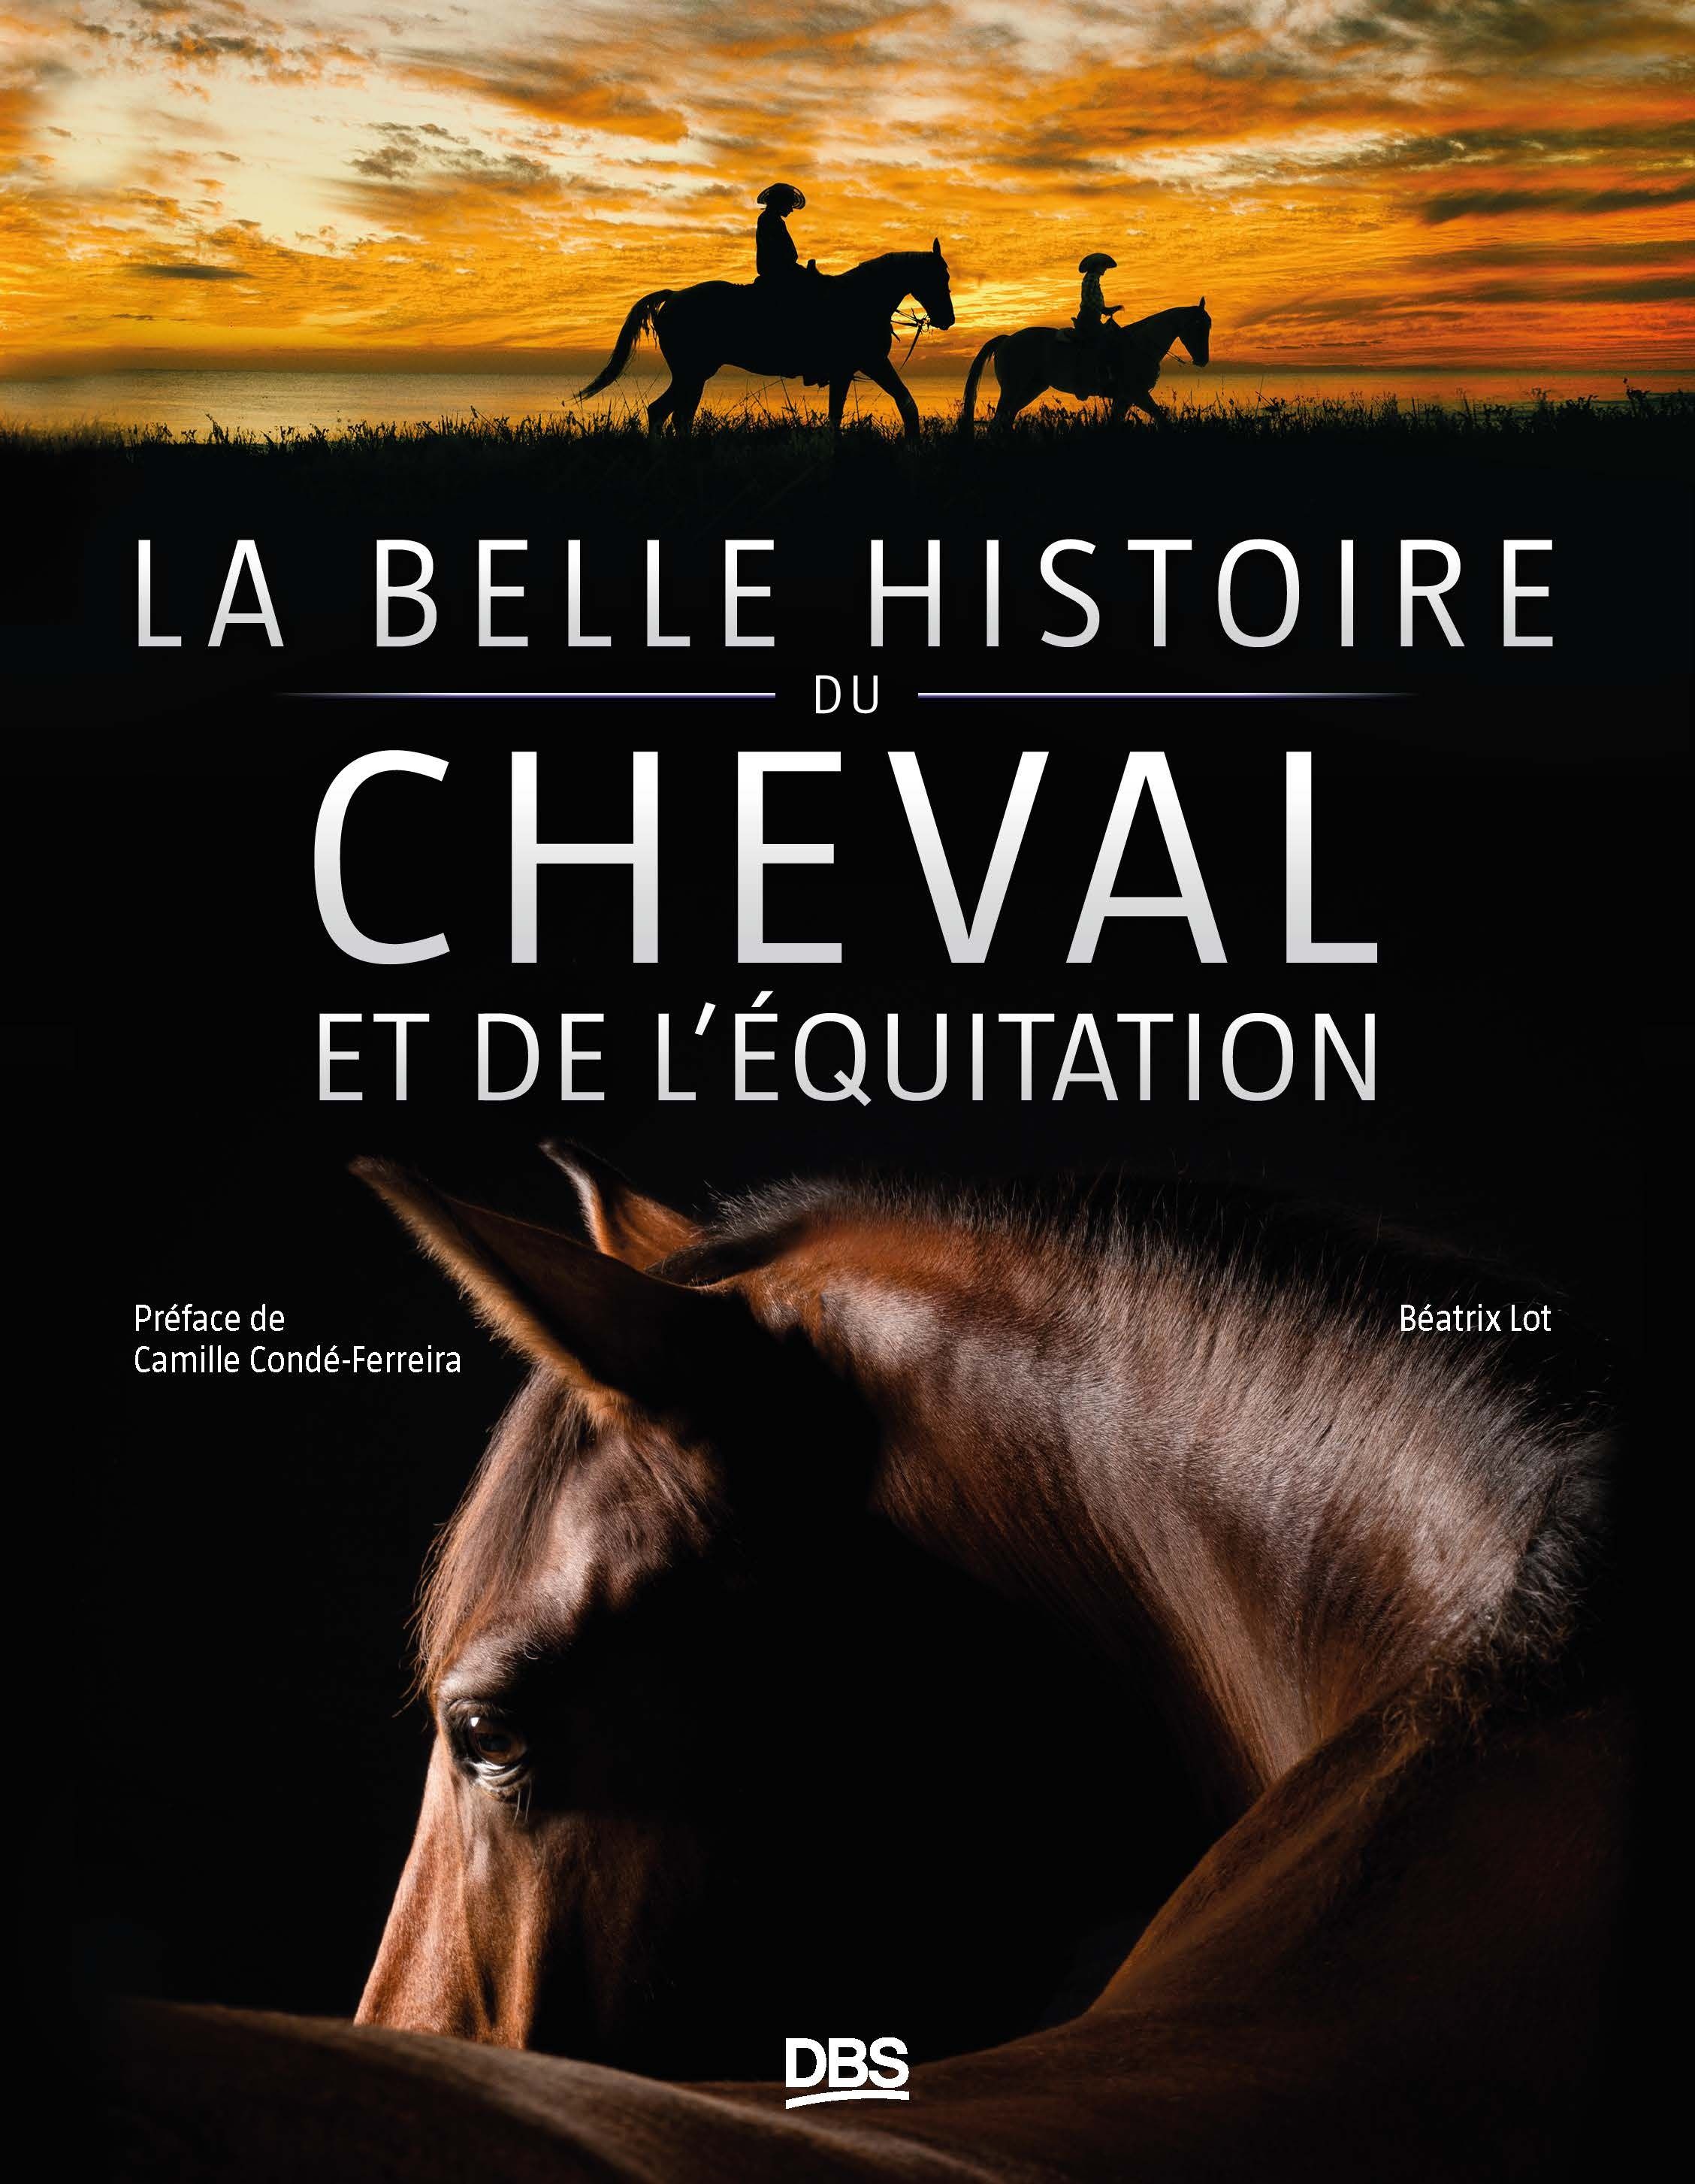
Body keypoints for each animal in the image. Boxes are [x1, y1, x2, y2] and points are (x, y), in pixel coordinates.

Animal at [576, 244, 956, 438]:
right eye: (940, 276)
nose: (947, 319)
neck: (860, 299)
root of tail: (674, 297)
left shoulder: (854, 369)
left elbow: (860, 412)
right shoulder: (867, 364)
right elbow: (892, 407)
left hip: (693, 376)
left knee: (675, 416)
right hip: (692, 374)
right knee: (663, 413)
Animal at [960, 299, 1211, 433]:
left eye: (1208, 326)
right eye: (1199, 326)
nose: (1203, 360)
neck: (1140, 345)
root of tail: (1007, 339)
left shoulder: (1124, 398)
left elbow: (1116, 423)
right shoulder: (1137, 394)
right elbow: (1161, 418)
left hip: (1031, 388)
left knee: (1007, 418)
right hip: (1012, 389)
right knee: (998, 421)